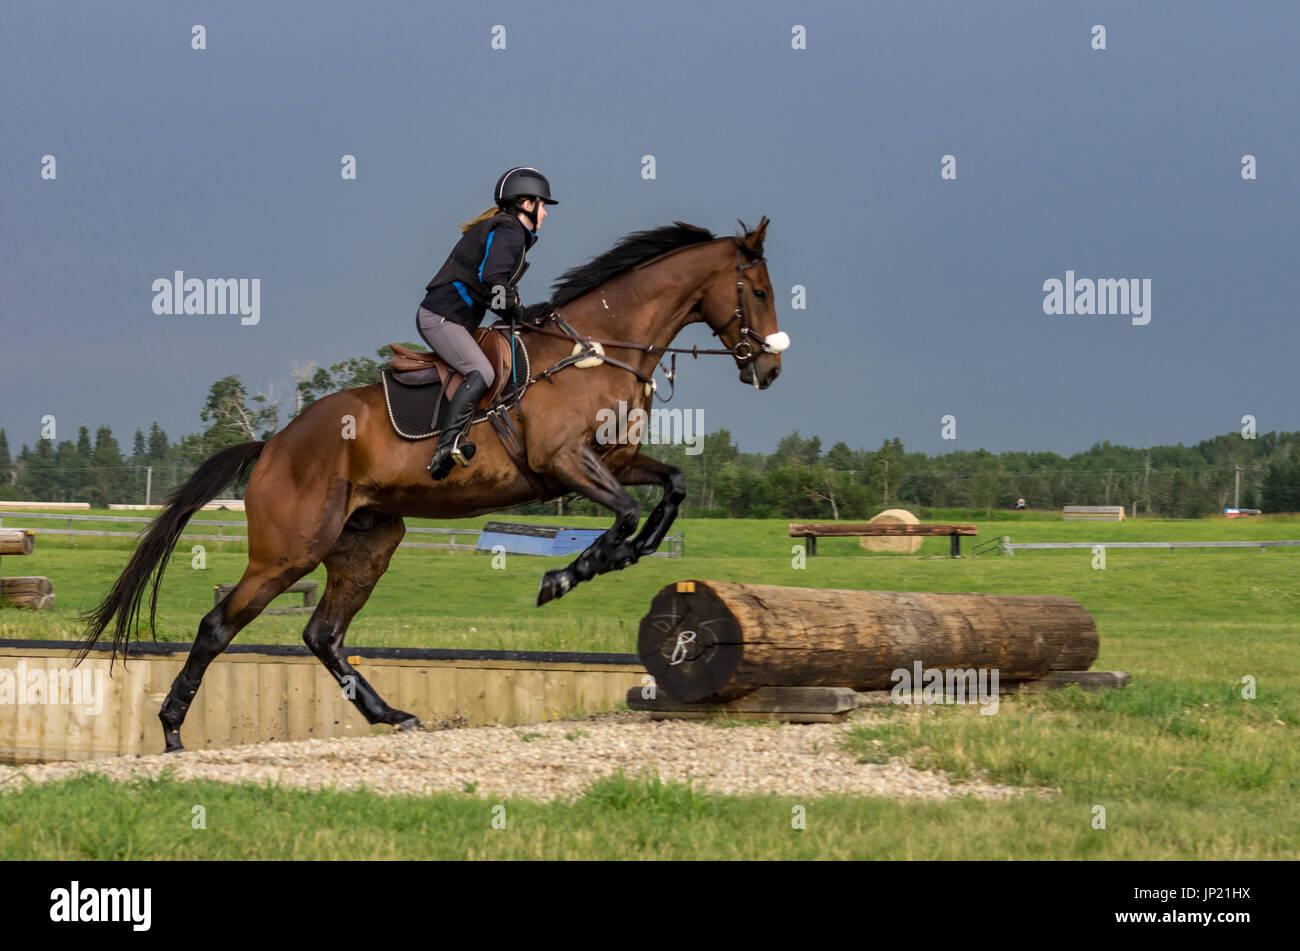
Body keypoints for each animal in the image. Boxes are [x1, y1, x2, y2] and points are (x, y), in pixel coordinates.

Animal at [83, 215, 790, 748]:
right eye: (757, 291)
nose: (770, 369)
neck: (596, 349)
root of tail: (274, 443)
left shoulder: (614, 459)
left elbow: (670, 489)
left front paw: (622, 557)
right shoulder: (565, 461)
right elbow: (621, 513)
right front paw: (566, 576)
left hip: (369, 541)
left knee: (322, 634)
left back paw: (392, 715)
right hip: (290, 551)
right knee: (218, 626)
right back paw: (173, 730)